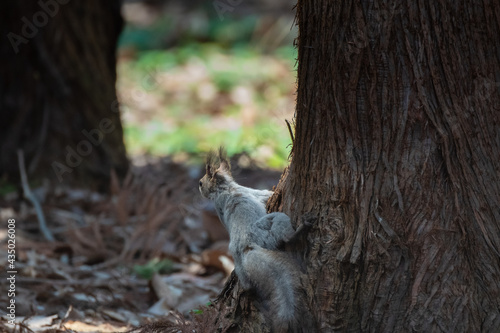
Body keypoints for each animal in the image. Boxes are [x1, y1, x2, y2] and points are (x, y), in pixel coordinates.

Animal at [198, 148, 312, 332]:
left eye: (201, 183)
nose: (199, 186)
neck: (225, 189)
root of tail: (248, 248)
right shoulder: (251, 192)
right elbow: (265, 195)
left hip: (242, 270)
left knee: (248, 284)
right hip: (272, 223)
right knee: (286, 236)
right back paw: (301, 229)